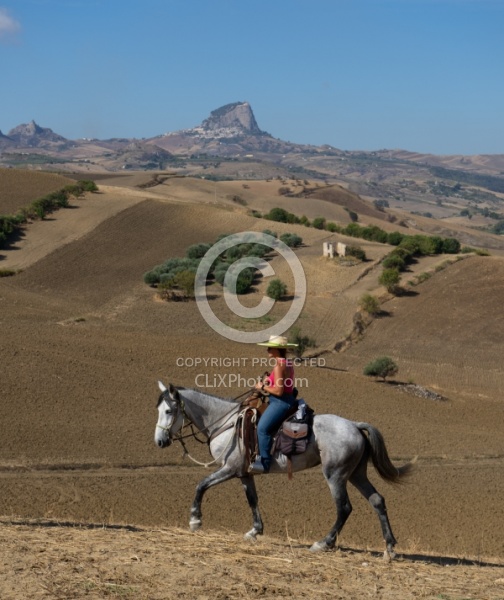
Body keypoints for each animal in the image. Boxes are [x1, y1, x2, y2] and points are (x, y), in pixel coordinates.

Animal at [154, 380, 414, 556]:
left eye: (168, 411)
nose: (159, 441)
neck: (226, 423)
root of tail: (354, 425)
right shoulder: (244, 473)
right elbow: (252, 500)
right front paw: (255, 531)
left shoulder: (229, 469)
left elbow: (201, 486)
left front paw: (195, 520)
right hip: (356, 474)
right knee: (377, 500)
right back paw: (390, 547)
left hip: (335, 475)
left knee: (344, 508)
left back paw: (323, 543)